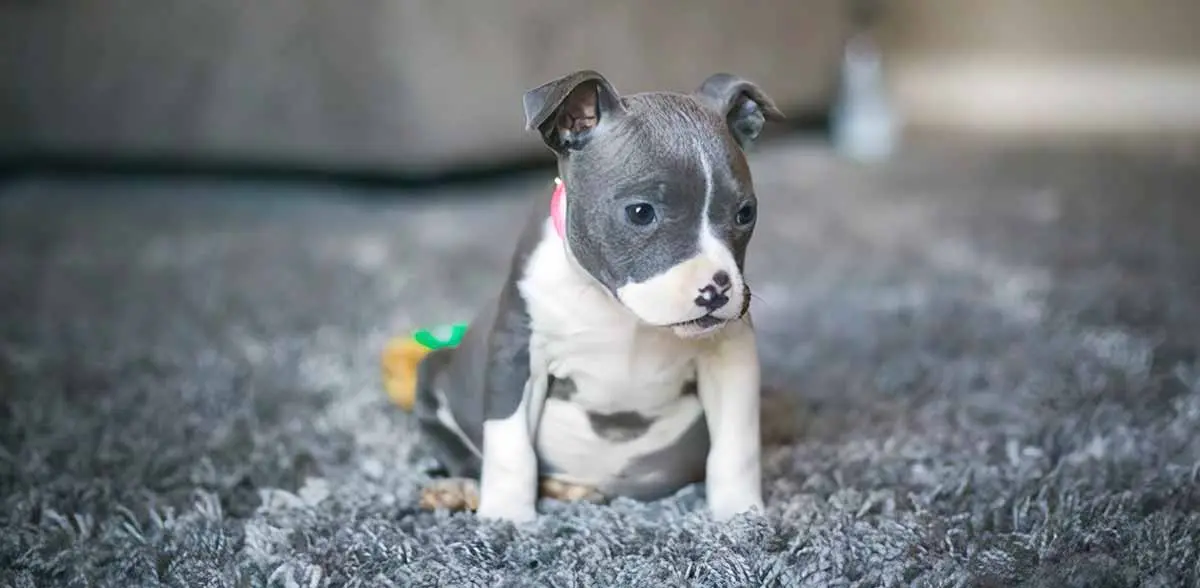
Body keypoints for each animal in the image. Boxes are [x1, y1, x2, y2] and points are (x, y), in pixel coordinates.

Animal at [415, 70, 787, 523]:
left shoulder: (730, 355)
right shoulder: (517, 354)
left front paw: (739, 515)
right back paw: (458, 489)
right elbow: (509, 446)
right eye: (641, 212)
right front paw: (506, 517)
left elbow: (736, 445)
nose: (716, 288)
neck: (617, 308)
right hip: (433, 373)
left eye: (745, 213)